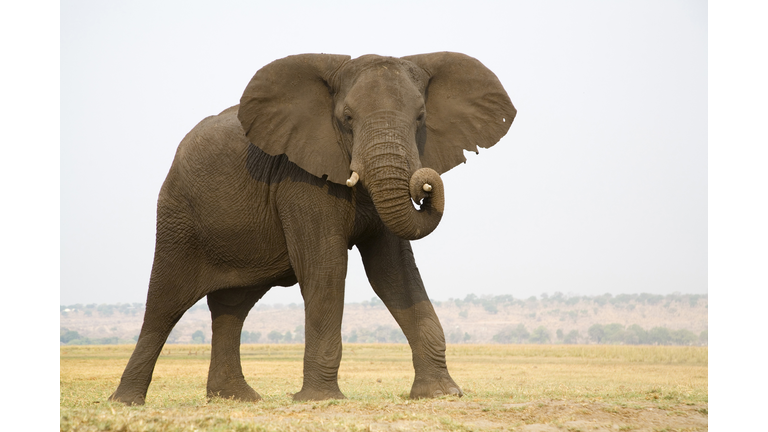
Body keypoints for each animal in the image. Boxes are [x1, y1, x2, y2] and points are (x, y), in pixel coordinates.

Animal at [108, 51, 516, 404]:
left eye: (420, 117)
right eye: (347, 117)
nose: (425, 185)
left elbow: (393, 273)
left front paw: (441, 394)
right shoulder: (300, 179)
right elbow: (326, 267)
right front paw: (321, 399)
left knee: (232, 307)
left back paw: (237, 398)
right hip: (178, 216)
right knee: (164, 303)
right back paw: (127, 402)